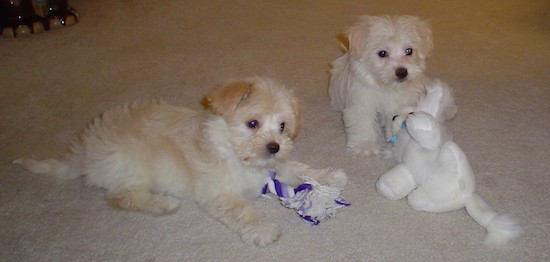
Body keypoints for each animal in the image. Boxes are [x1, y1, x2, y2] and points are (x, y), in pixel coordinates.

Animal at [15, 76, 350, 248]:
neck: (231, 151)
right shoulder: (218, 192)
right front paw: (263, 231)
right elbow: (242, 210)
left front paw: (329, 177)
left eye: (282, 126)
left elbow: (296, 168)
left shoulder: (272, 166)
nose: (274, 146)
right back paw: (161, 204)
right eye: (252, 123)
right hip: (132, 164)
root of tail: (86, 149)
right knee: (122, 197)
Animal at [330, 14, 442, 156]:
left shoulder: (400, 104)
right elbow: (363, 123)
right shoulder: (361, 103)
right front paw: (365, 146)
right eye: (382, 53)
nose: (402, 72)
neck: (387, 86)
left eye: (409, 50)